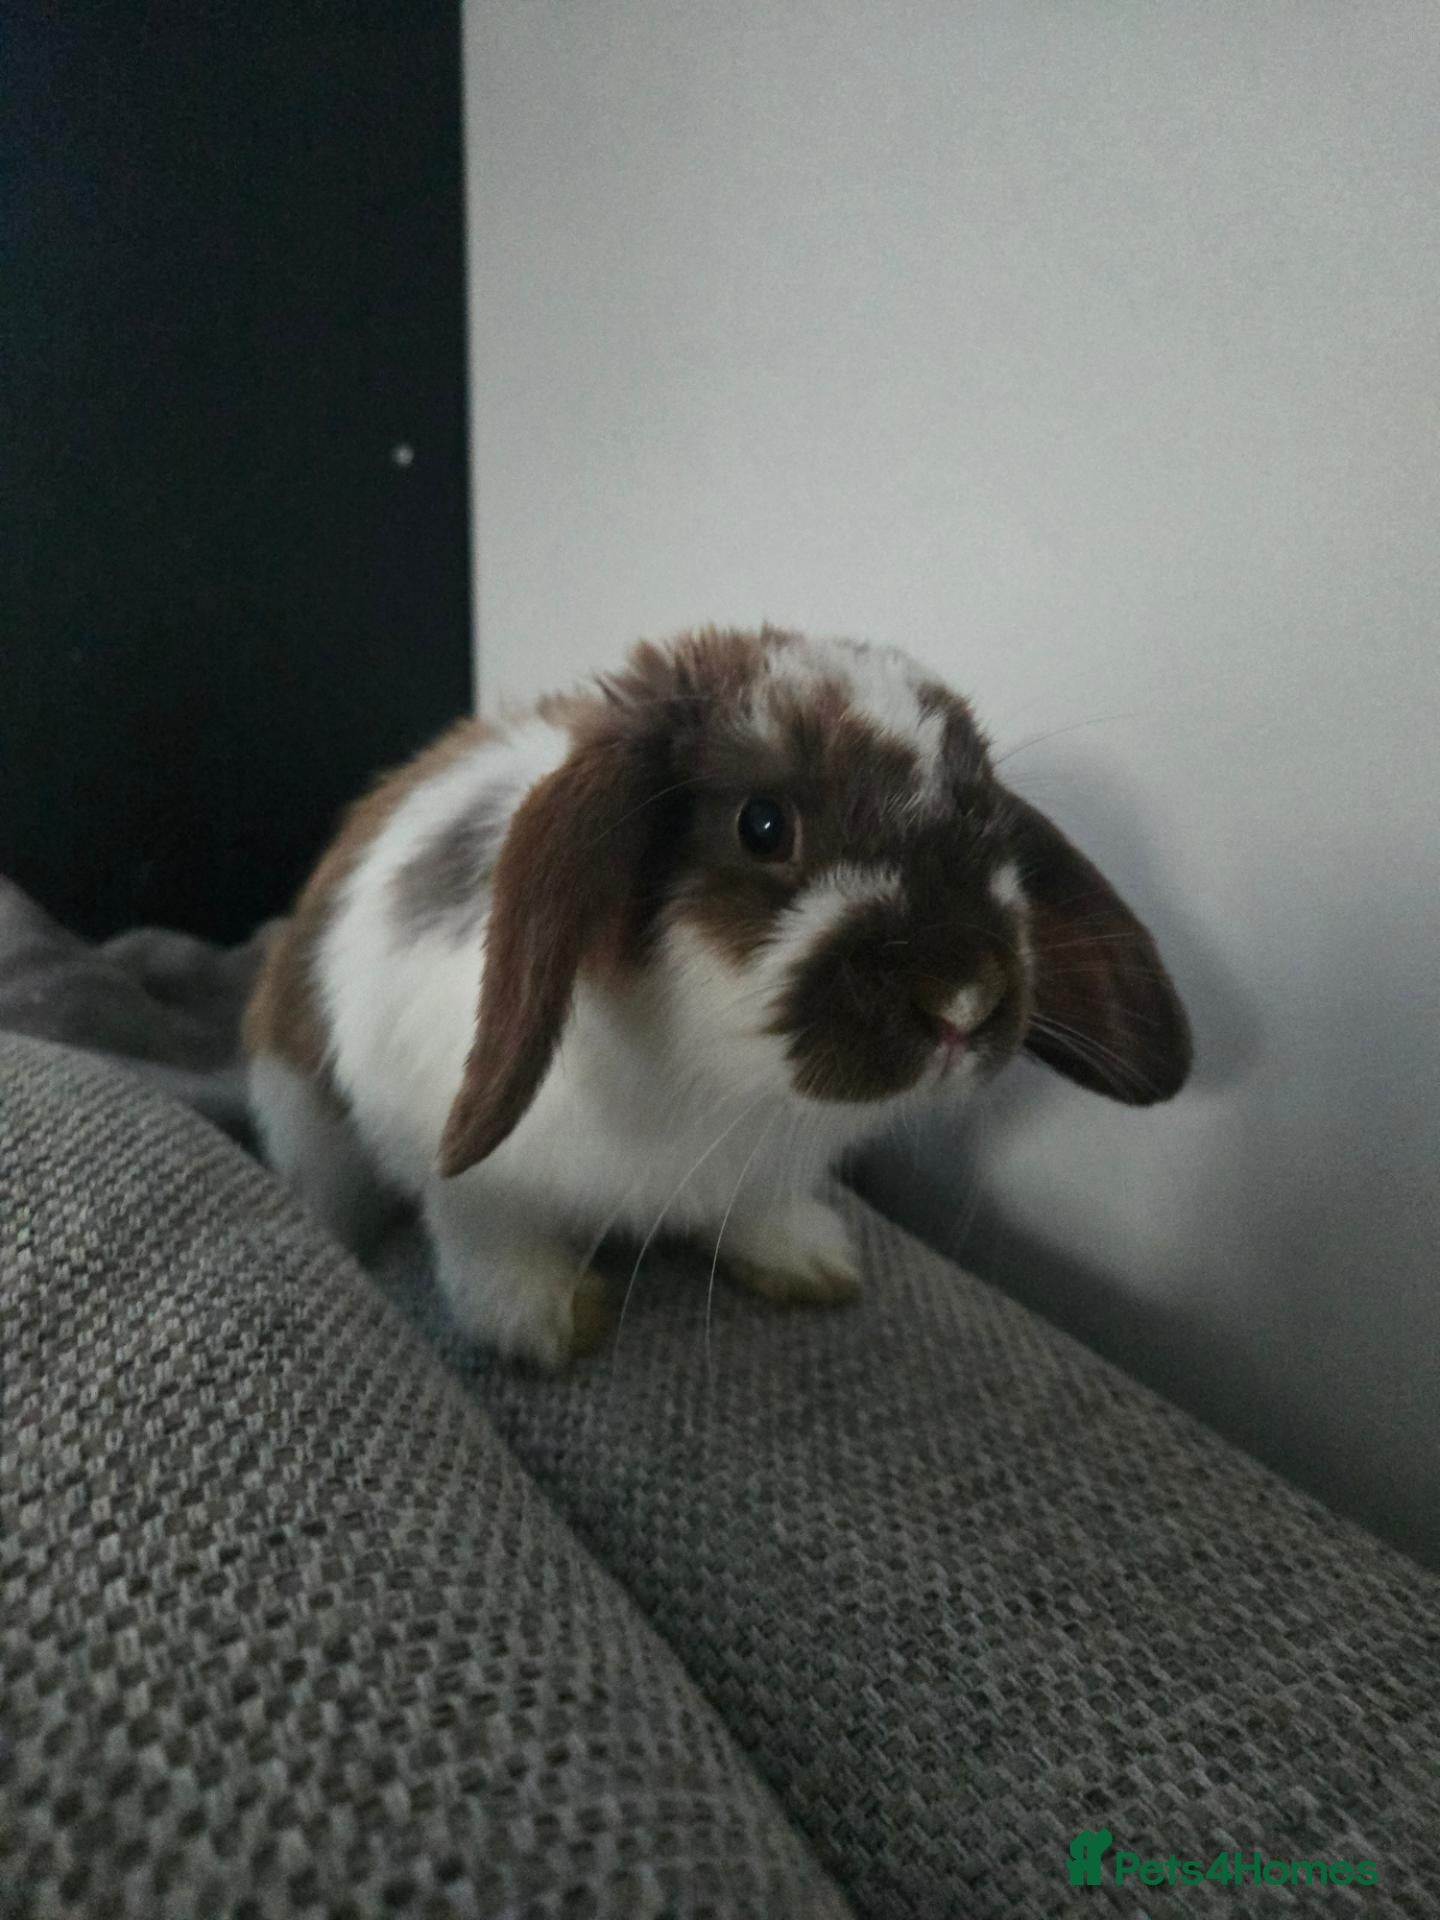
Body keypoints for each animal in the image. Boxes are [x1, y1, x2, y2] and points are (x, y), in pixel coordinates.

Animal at [243, 626, 1191, 1367]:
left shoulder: (759, 1173)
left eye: (992, 834)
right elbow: (483, 1226)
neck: (722, 1084)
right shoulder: (457, 1162)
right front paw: (543, 1318)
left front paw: (808, 1262)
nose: (963, 1001)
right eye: (762, 826)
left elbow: (759, 1215)